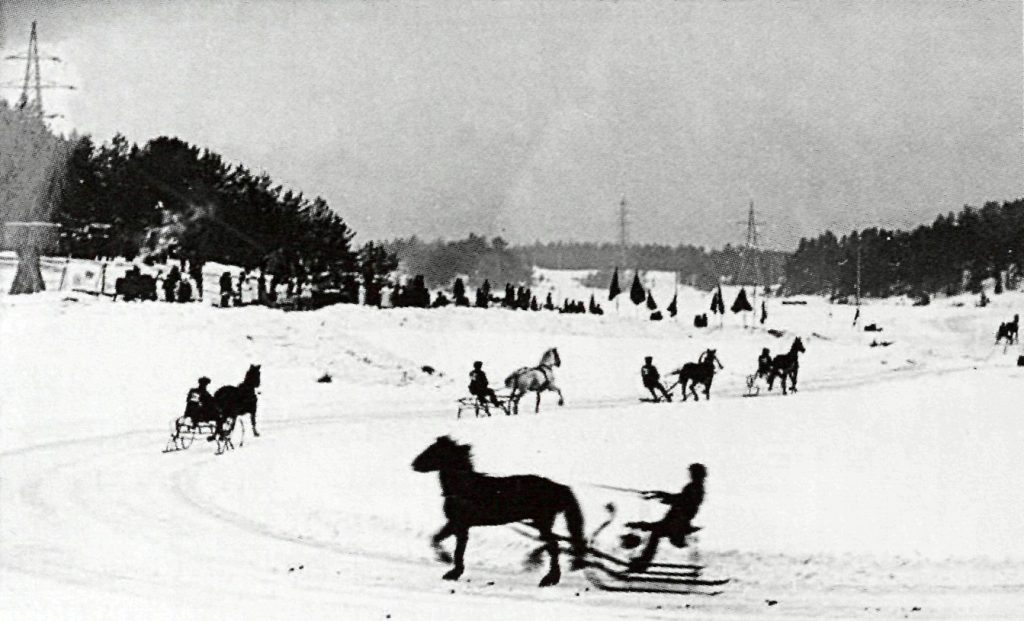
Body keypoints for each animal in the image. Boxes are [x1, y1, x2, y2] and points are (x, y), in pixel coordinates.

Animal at [407, 436, 585, 586]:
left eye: (435, 451)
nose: (414, 464)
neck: (464, 488)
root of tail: (557, 487)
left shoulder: (461, 525)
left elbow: (458, 551)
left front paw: (452, 570)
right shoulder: (454, 524)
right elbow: (436, 539)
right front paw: (446, 561)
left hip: (543, 522)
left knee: (553, 546)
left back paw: (549, 579)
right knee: (552, 545)